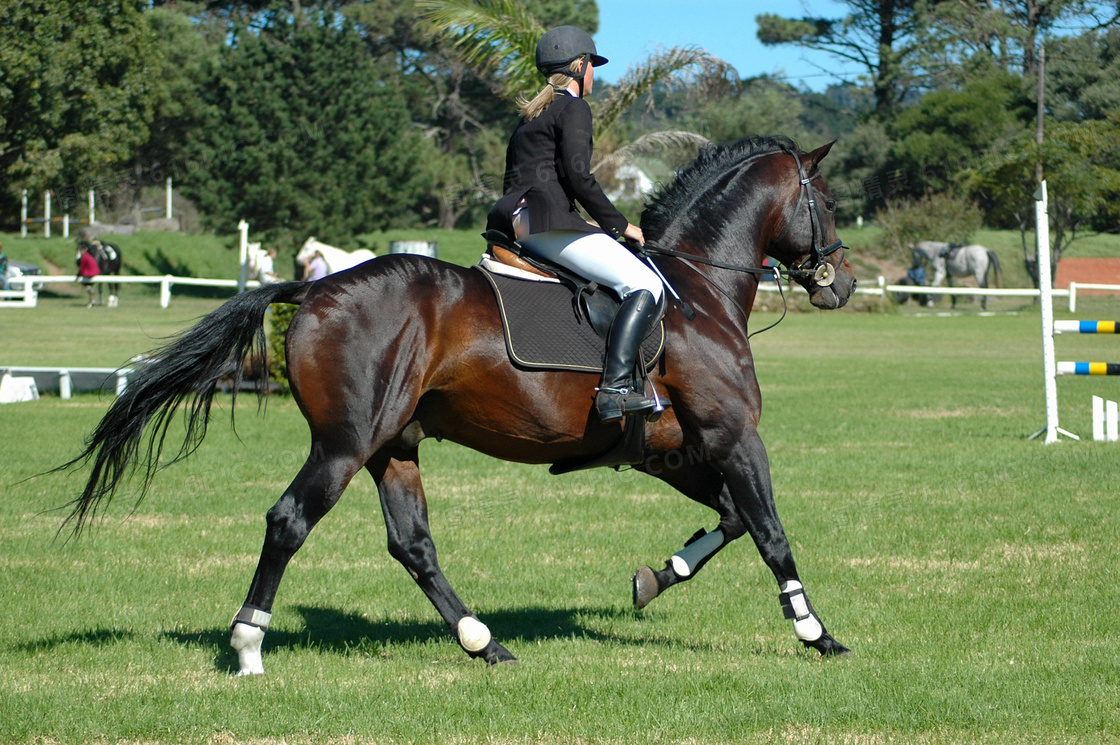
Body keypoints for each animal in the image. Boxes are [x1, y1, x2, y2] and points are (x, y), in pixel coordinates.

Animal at [56, 133, 855, 672]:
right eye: (829, 203)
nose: (842, 284)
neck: (694, 288)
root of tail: (314, 287)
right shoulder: (733, 434)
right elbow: (770, 531)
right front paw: (817, 633)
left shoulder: (673, 450)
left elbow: (730, 519)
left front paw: (655, 579)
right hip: (345, 445)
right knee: (289, 521)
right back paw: (249, 645)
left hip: (393, 446)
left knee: (412, 544)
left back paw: (483, 642)